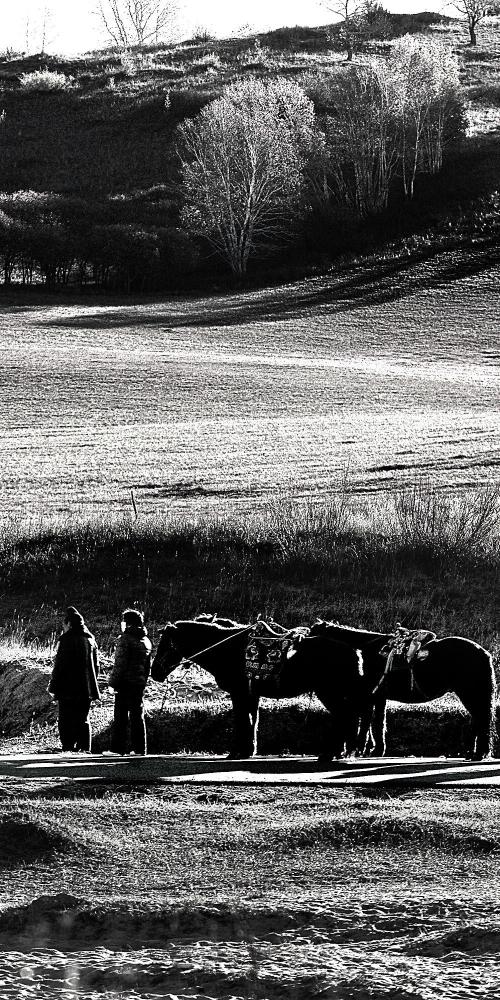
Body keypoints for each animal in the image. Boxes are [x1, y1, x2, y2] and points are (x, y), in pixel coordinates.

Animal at [151, 616, 368, 756]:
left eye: (165, 644)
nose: (155, 672)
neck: (226, 649)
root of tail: (356, 652)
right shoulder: (251, 694)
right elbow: (252, 720)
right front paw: (249, 750)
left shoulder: (239, 693)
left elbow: (241, 719)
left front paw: (236, 751)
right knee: (348, 717)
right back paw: (341, 750)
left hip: (329, 692)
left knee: (345, 716)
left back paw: (331, 752)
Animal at [310, 620, 494, 760]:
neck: (361, 652)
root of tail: (484, 653)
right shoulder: (378, 697)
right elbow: (378, 722)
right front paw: (376, 750)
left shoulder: (367, 697)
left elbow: (367, 722)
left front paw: (359, 748)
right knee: (479, 720)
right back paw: (475, 753)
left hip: (470, 694)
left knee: (482, 719)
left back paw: (479, 754)